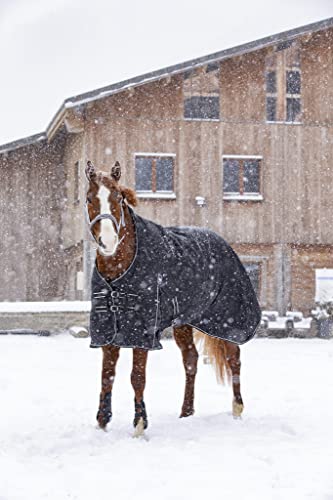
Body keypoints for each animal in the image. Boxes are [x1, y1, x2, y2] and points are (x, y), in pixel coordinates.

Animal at [83, 160, 260, 434]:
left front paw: (139, 425)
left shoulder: (142, 331)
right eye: (90, 198)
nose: (108, 241)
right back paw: (186, 413)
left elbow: (137, 377)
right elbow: (106, 376)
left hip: (226, 321)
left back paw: (237, 412)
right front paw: (102, 424)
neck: (120, 269)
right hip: (184, 323)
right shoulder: (107, 328)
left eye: (118, 198)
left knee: (234, 359)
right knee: (191, 360)